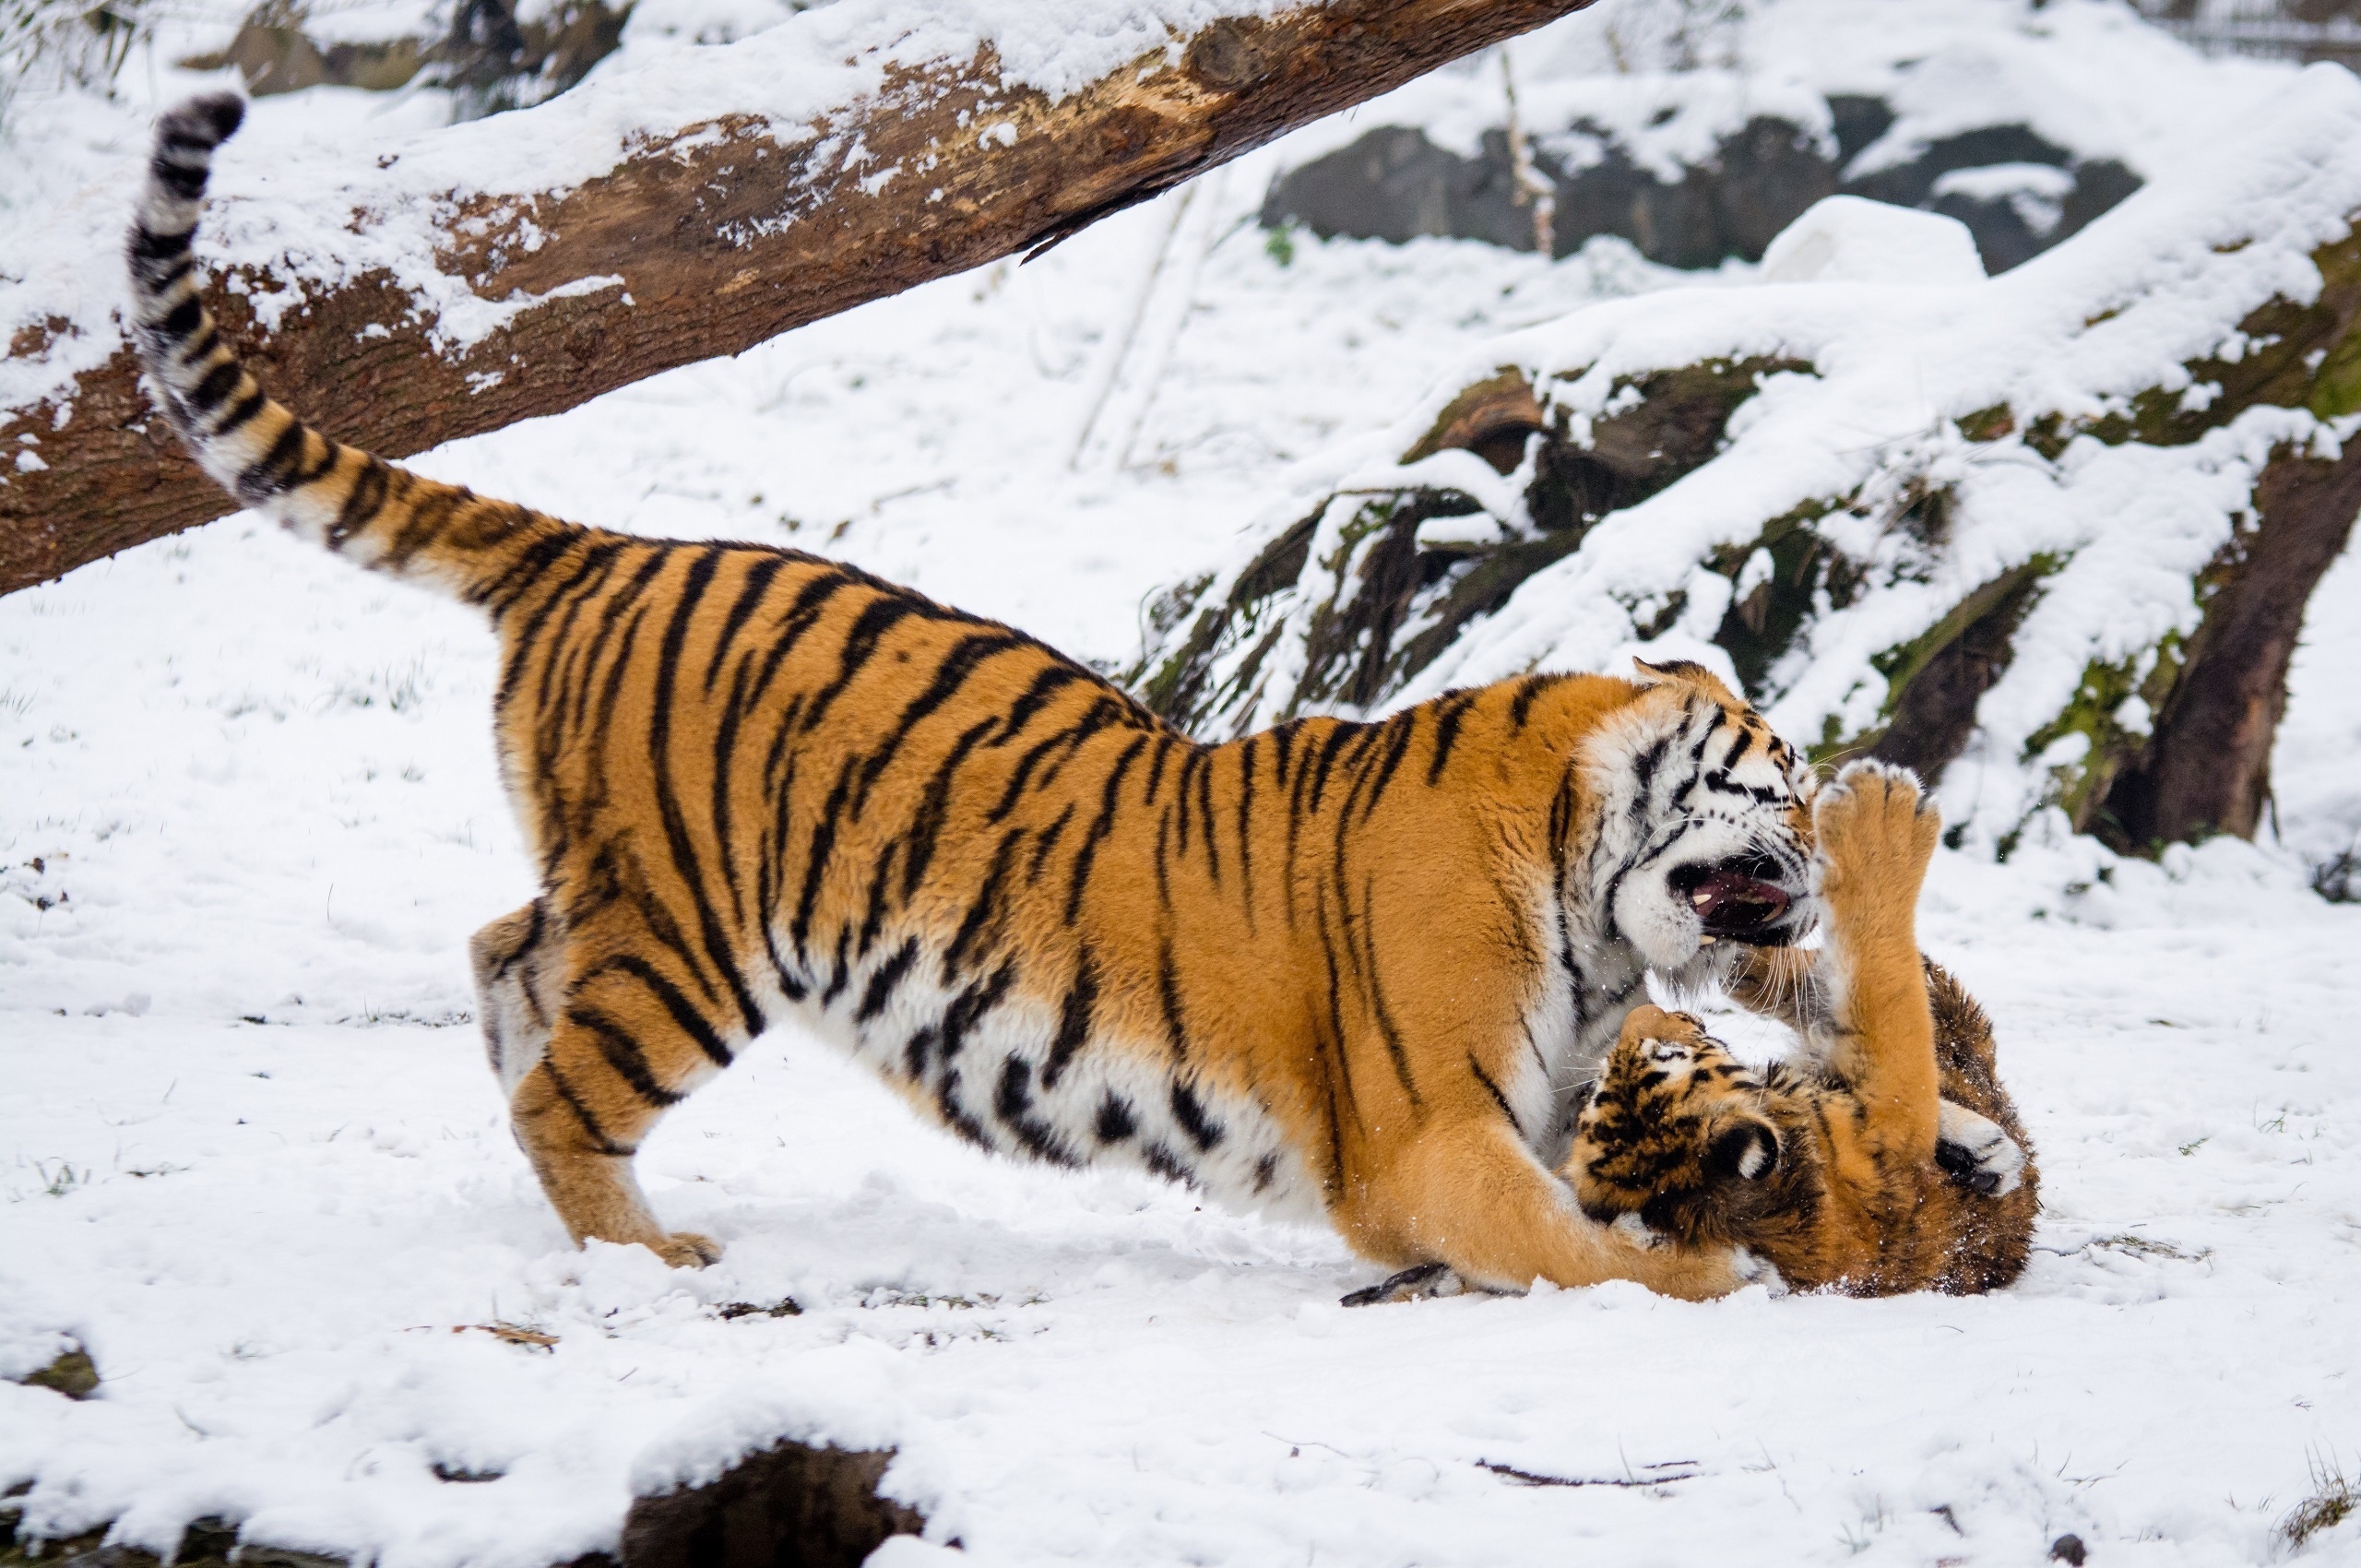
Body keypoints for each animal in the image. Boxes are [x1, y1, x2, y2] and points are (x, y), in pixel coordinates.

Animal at [1567, 765, 2030, 1294]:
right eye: (1662, 1053)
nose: (1642, 1014)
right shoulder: (1893, 1110)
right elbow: (1884, 980)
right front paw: (1881, 812)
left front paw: (1984, 1151)